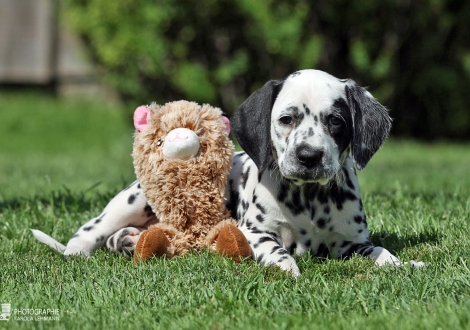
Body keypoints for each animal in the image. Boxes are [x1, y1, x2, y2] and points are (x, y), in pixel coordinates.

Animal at [33, 69, 422, 276]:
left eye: (336, 121)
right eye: (286, 119)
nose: (309, 156)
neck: (310, 199)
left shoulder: (352, 243)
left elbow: (381, 252)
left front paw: (404, 264)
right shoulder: (255, 233)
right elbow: (278, 251)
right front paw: (286, 269)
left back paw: (131, 241)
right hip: (131, 201)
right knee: (89, 231)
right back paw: (82, 252)